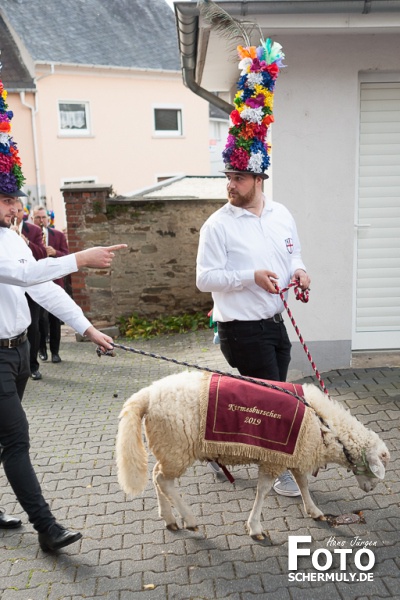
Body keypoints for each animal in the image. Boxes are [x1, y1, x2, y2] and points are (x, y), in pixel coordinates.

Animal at [115, 370, 390, 540]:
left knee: (156, 476)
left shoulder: (294, 455)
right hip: (177, 446)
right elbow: (263, 491)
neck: (324, 424)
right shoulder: (275, 459)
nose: (370, 489)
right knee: (164, 480)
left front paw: (313, 510)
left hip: (168, 446)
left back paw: (169, 518)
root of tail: (148, 394)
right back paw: (189, 518)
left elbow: (302, 483)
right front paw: (255, 527)